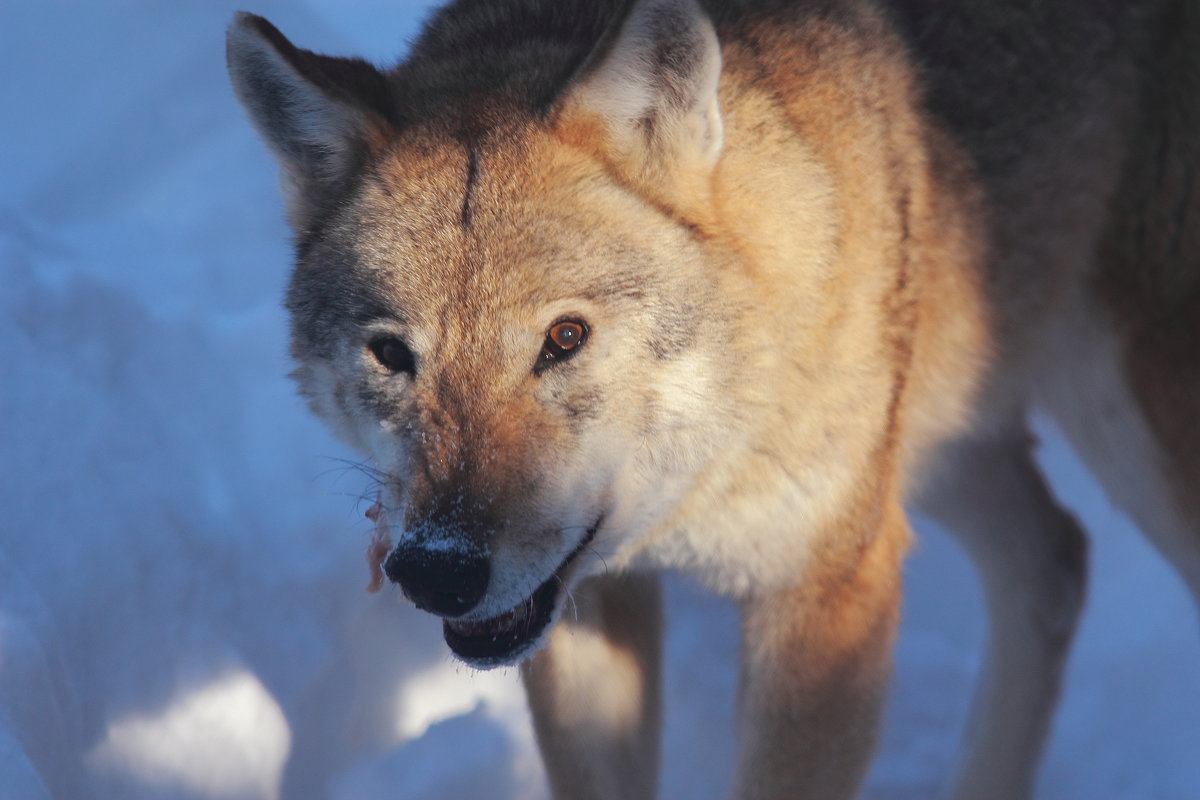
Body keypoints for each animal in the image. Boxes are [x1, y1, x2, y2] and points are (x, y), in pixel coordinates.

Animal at [226, 1, 1200, 796]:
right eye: (393, 355)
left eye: (564, 339)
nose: (436, 572)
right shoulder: (586, 609)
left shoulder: (825, 597)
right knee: (1056, 558)